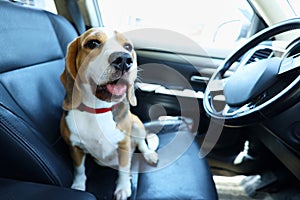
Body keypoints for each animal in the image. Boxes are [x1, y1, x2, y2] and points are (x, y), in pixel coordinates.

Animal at [60, 27, 159, 199]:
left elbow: (124, 169)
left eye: (128, 47)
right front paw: (78, 187)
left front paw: (123, 188)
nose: (124, 59)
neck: (97, 111)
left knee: (141, 143)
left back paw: (149, 154)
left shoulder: (124, 144)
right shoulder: (74, 147)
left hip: (137, 124)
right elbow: (79, 170)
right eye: (92, 43)